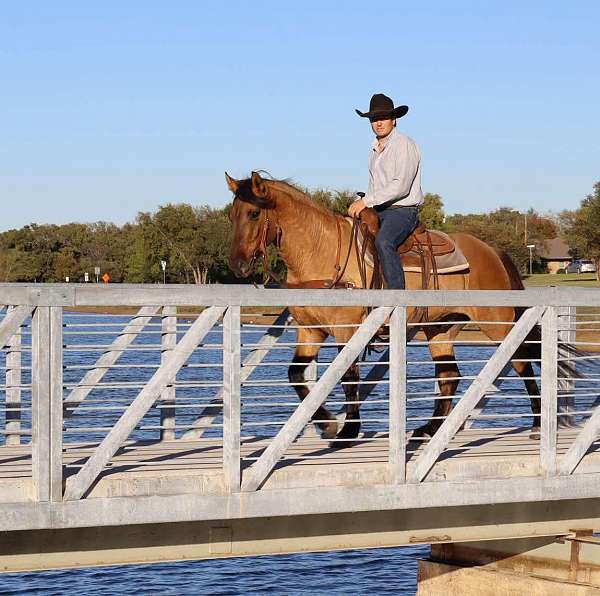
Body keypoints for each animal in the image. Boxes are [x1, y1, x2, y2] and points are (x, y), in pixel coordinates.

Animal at [227, 170, 576, 440]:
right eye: (233, 215)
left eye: (254, 213)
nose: (237, 265)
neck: (323, 252)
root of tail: (492, 251)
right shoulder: (310, 331)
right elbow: (296, 375)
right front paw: (326, 423)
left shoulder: (347, 329)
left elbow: (347, 377)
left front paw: (347, 430)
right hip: (441, 329)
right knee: (450, 375)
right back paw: (430, 429)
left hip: (498, 323)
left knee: (520, 362)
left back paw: (536, 422)